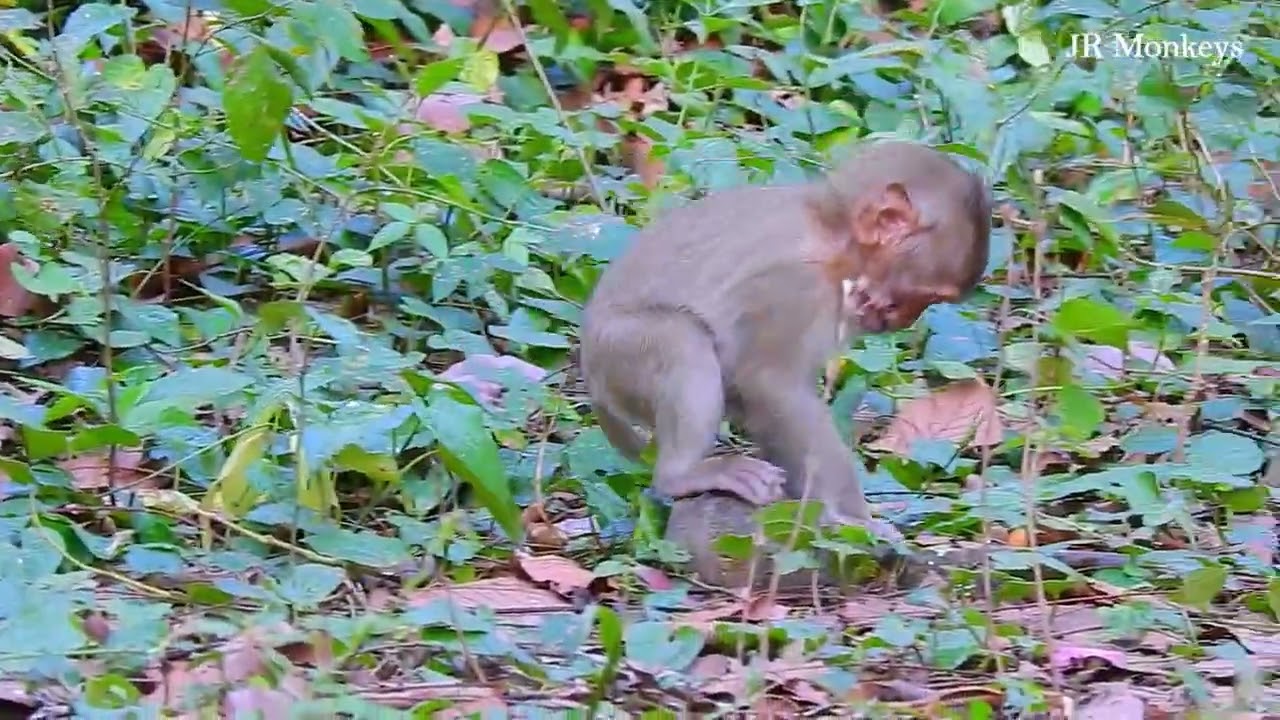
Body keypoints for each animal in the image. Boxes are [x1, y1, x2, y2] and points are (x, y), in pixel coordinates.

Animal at [579, 141, 992, 581]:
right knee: (683, 340)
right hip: (618, 353)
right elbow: (771, 384)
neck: (831, 235)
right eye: (926, 296)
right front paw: (854, 519)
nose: (906, 319)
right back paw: (680, 476)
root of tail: (589, 366)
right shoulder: (795, 283)